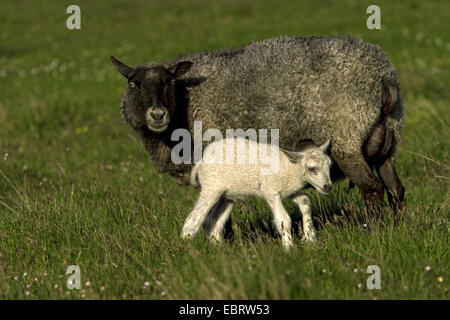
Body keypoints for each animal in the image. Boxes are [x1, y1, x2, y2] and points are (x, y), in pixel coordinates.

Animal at [181, 136, 332, 249]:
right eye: (312, 168)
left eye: (329, 166)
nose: (328, 187)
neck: (290, 168)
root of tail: (200, 163)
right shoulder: (270, 190)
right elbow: (284, 220)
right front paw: (289, 248)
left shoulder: (288, 191)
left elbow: (305, 202)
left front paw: (310, 238)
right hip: (211, 188)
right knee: (192, 220)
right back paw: (186, 248)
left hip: (227, 195)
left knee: (213, 223)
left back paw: (220, 250)